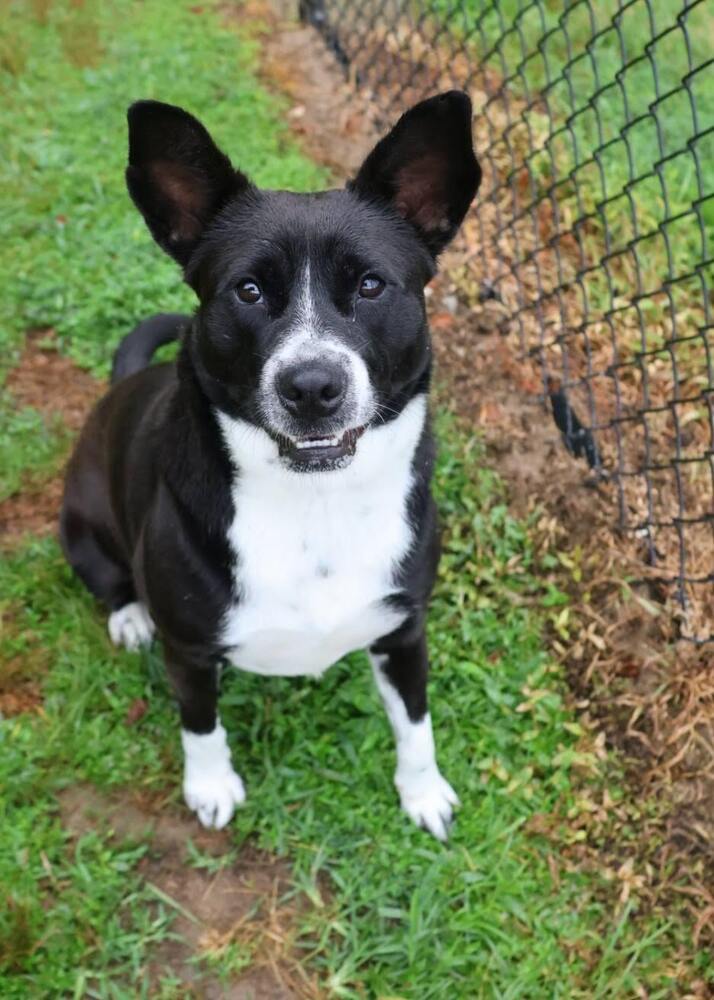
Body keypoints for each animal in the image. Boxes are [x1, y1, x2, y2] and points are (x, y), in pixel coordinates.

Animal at [59, 92, 478, 844]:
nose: (312, 387)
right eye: (248, 290)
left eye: (372, 285)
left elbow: (417, 724)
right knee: (109, 580)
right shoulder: (191, 652)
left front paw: (423, 792)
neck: (315, 501)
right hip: (79, 524)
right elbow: (200, 725)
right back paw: (130, 617)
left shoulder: (405, 629)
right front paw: (210, 787)